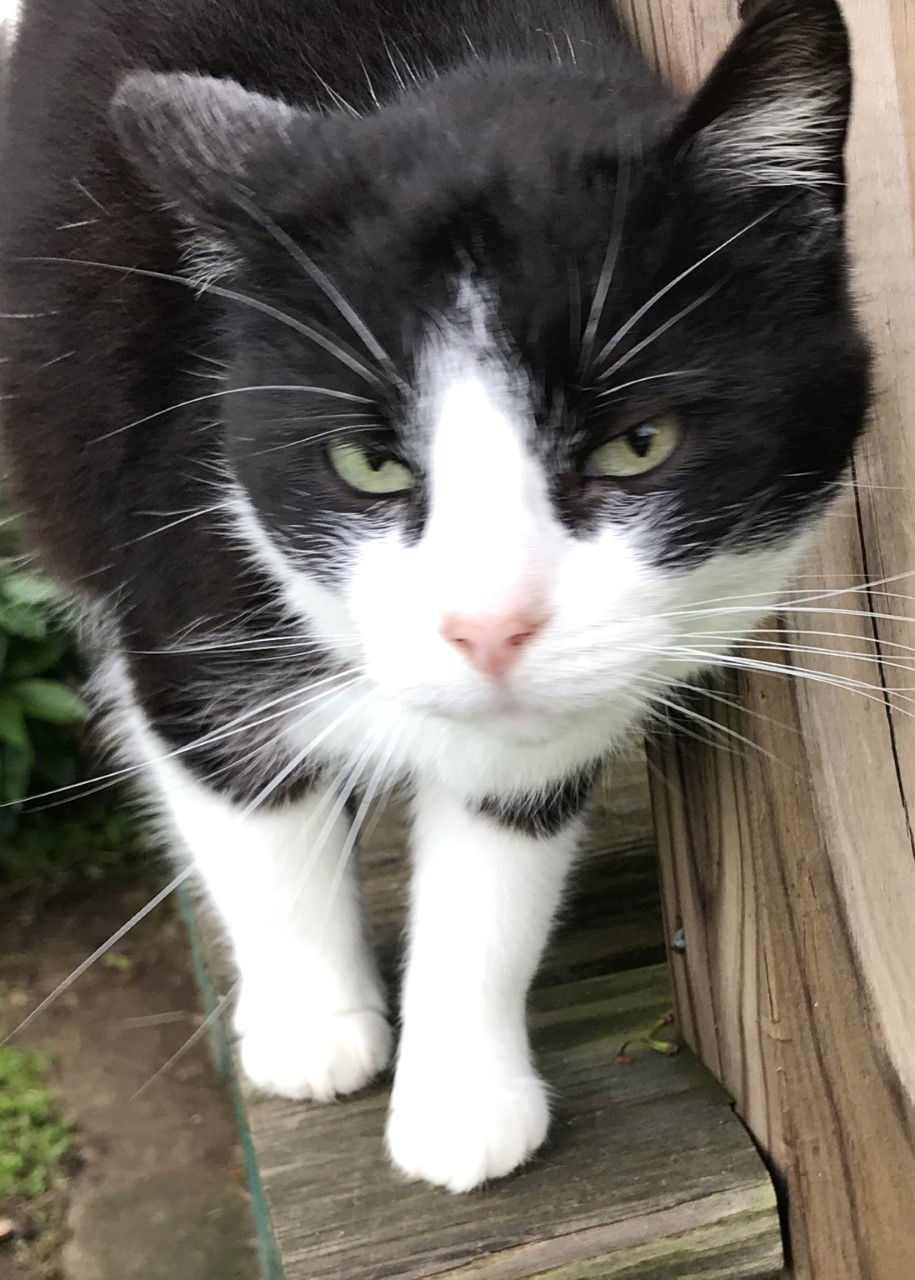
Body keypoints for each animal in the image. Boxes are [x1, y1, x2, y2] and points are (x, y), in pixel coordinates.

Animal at [0, 0, 875, 1192]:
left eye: (639, 443)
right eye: (367, 465)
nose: (487, 627)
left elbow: (499, 854)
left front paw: (462, 1097)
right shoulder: (177, 574)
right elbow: (241, 799)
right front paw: (314, 1025)